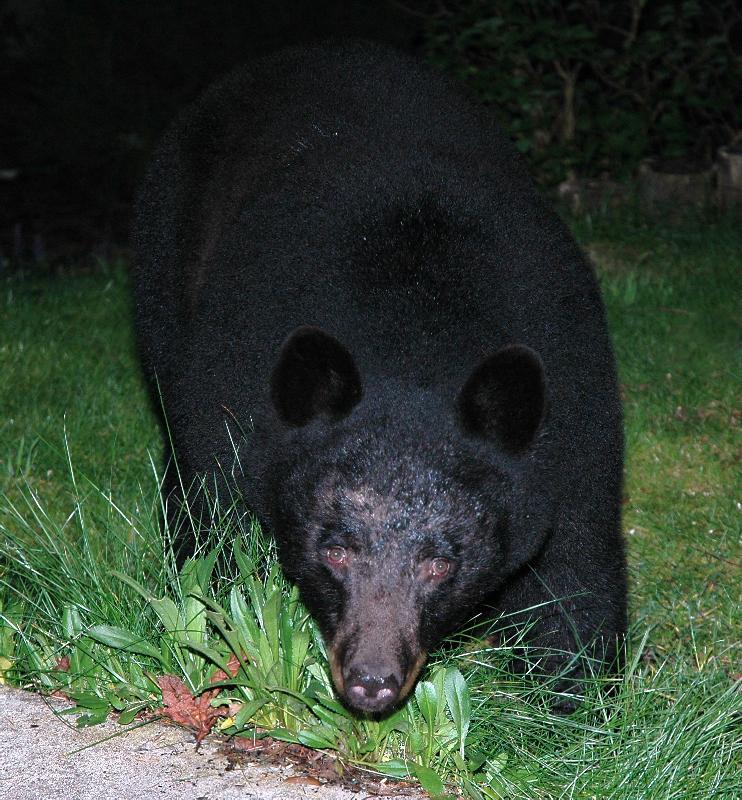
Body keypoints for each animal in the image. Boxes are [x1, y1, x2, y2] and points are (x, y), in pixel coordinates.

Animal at [132, 41, 626, 715]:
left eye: (441, 564)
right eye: (334, 550)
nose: (371, 681)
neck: (418, 328)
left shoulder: (572, 413)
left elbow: (574, 561)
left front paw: (571, 696)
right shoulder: (229, 388)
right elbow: (214, 515)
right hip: (166, 247)